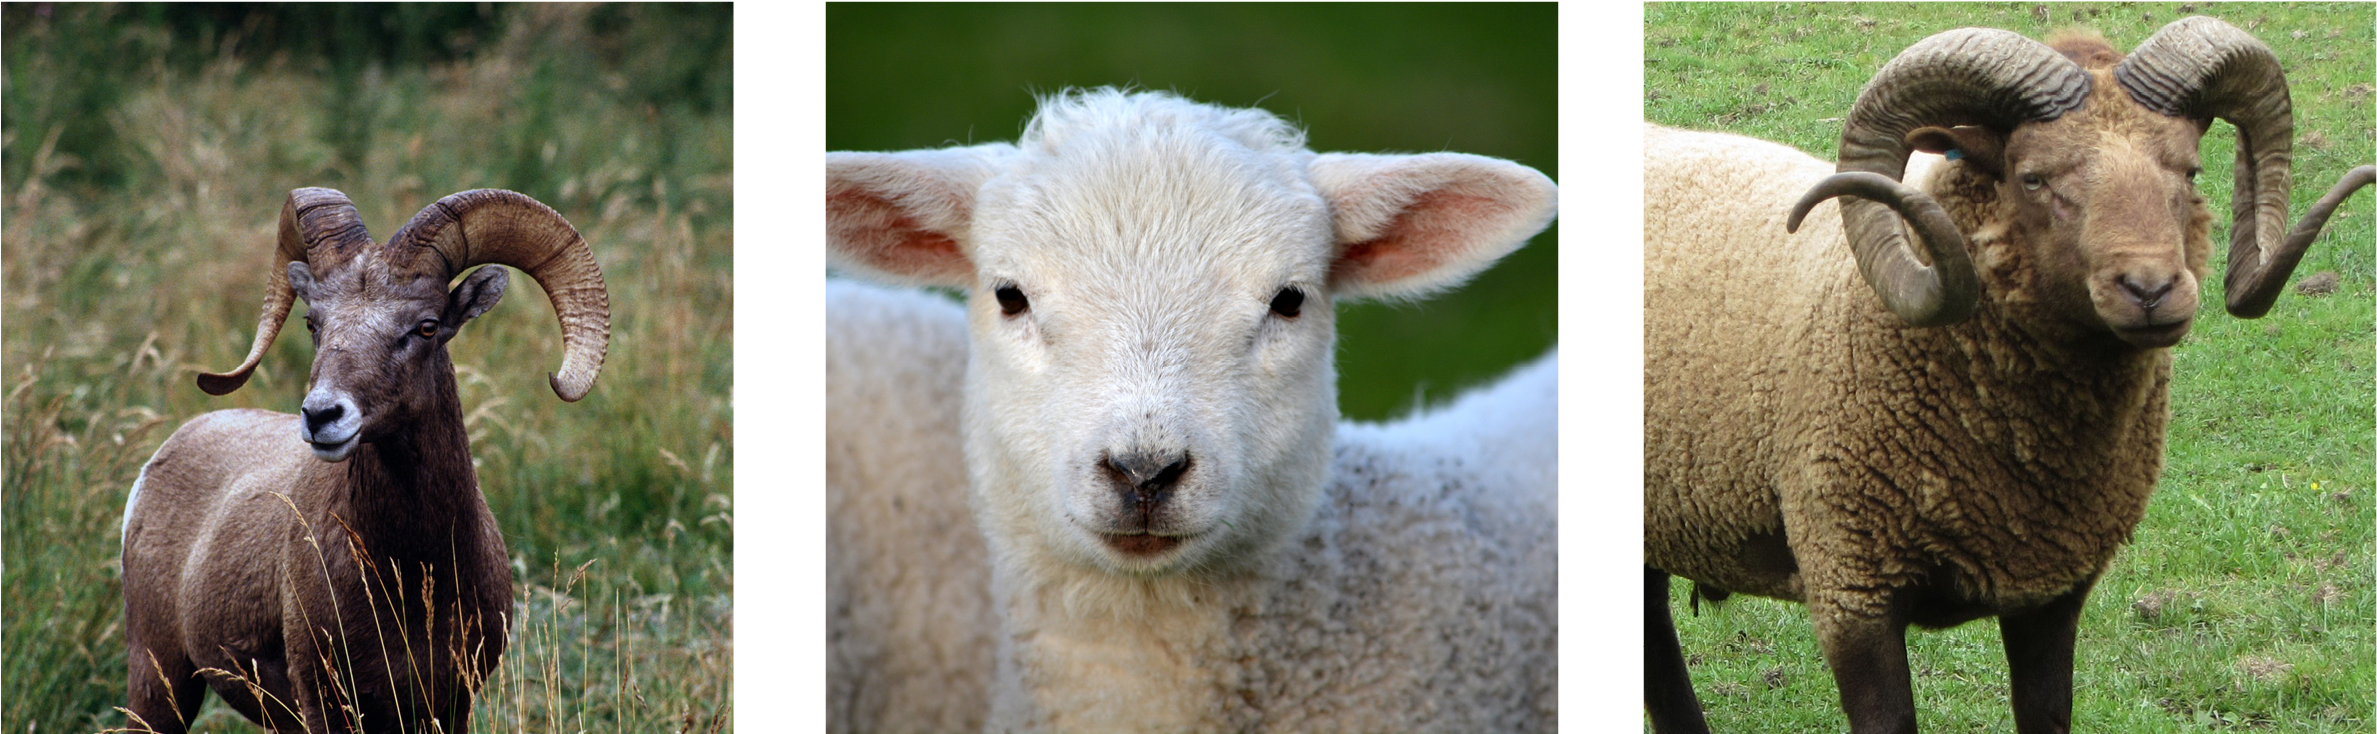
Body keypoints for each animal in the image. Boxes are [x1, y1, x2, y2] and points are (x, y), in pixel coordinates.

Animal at [122, 187, 610, 734]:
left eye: (426, 326)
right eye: (313, 323)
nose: (321, 415)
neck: (412, 581)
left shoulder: (450, 705)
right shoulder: (326, 704)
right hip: (160, 680)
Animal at [1642, 18, 2371, 734]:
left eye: (2189, 168)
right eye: (2033, 178)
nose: (2152, 290)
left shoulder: (2050, 593)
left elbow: (2046, 711)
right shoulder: (1852, 587)